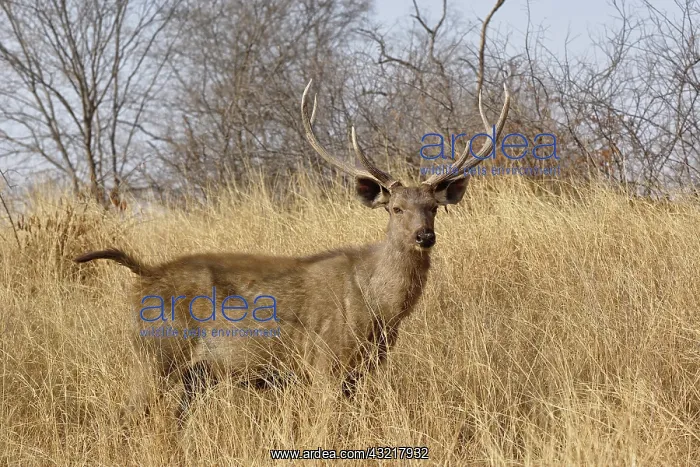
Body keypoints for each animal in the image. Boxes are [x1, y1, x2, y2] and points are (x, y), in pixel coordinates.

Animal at [74, 0, 510, 423]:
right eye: (396, 208)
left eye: (433, 207)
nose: (424, 236)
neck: (379, 307)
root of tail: (143, 274)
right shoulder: (325, 363)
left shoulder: (360, 370)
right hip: (156, 355)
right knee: (123, 416)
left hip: (191, 375)